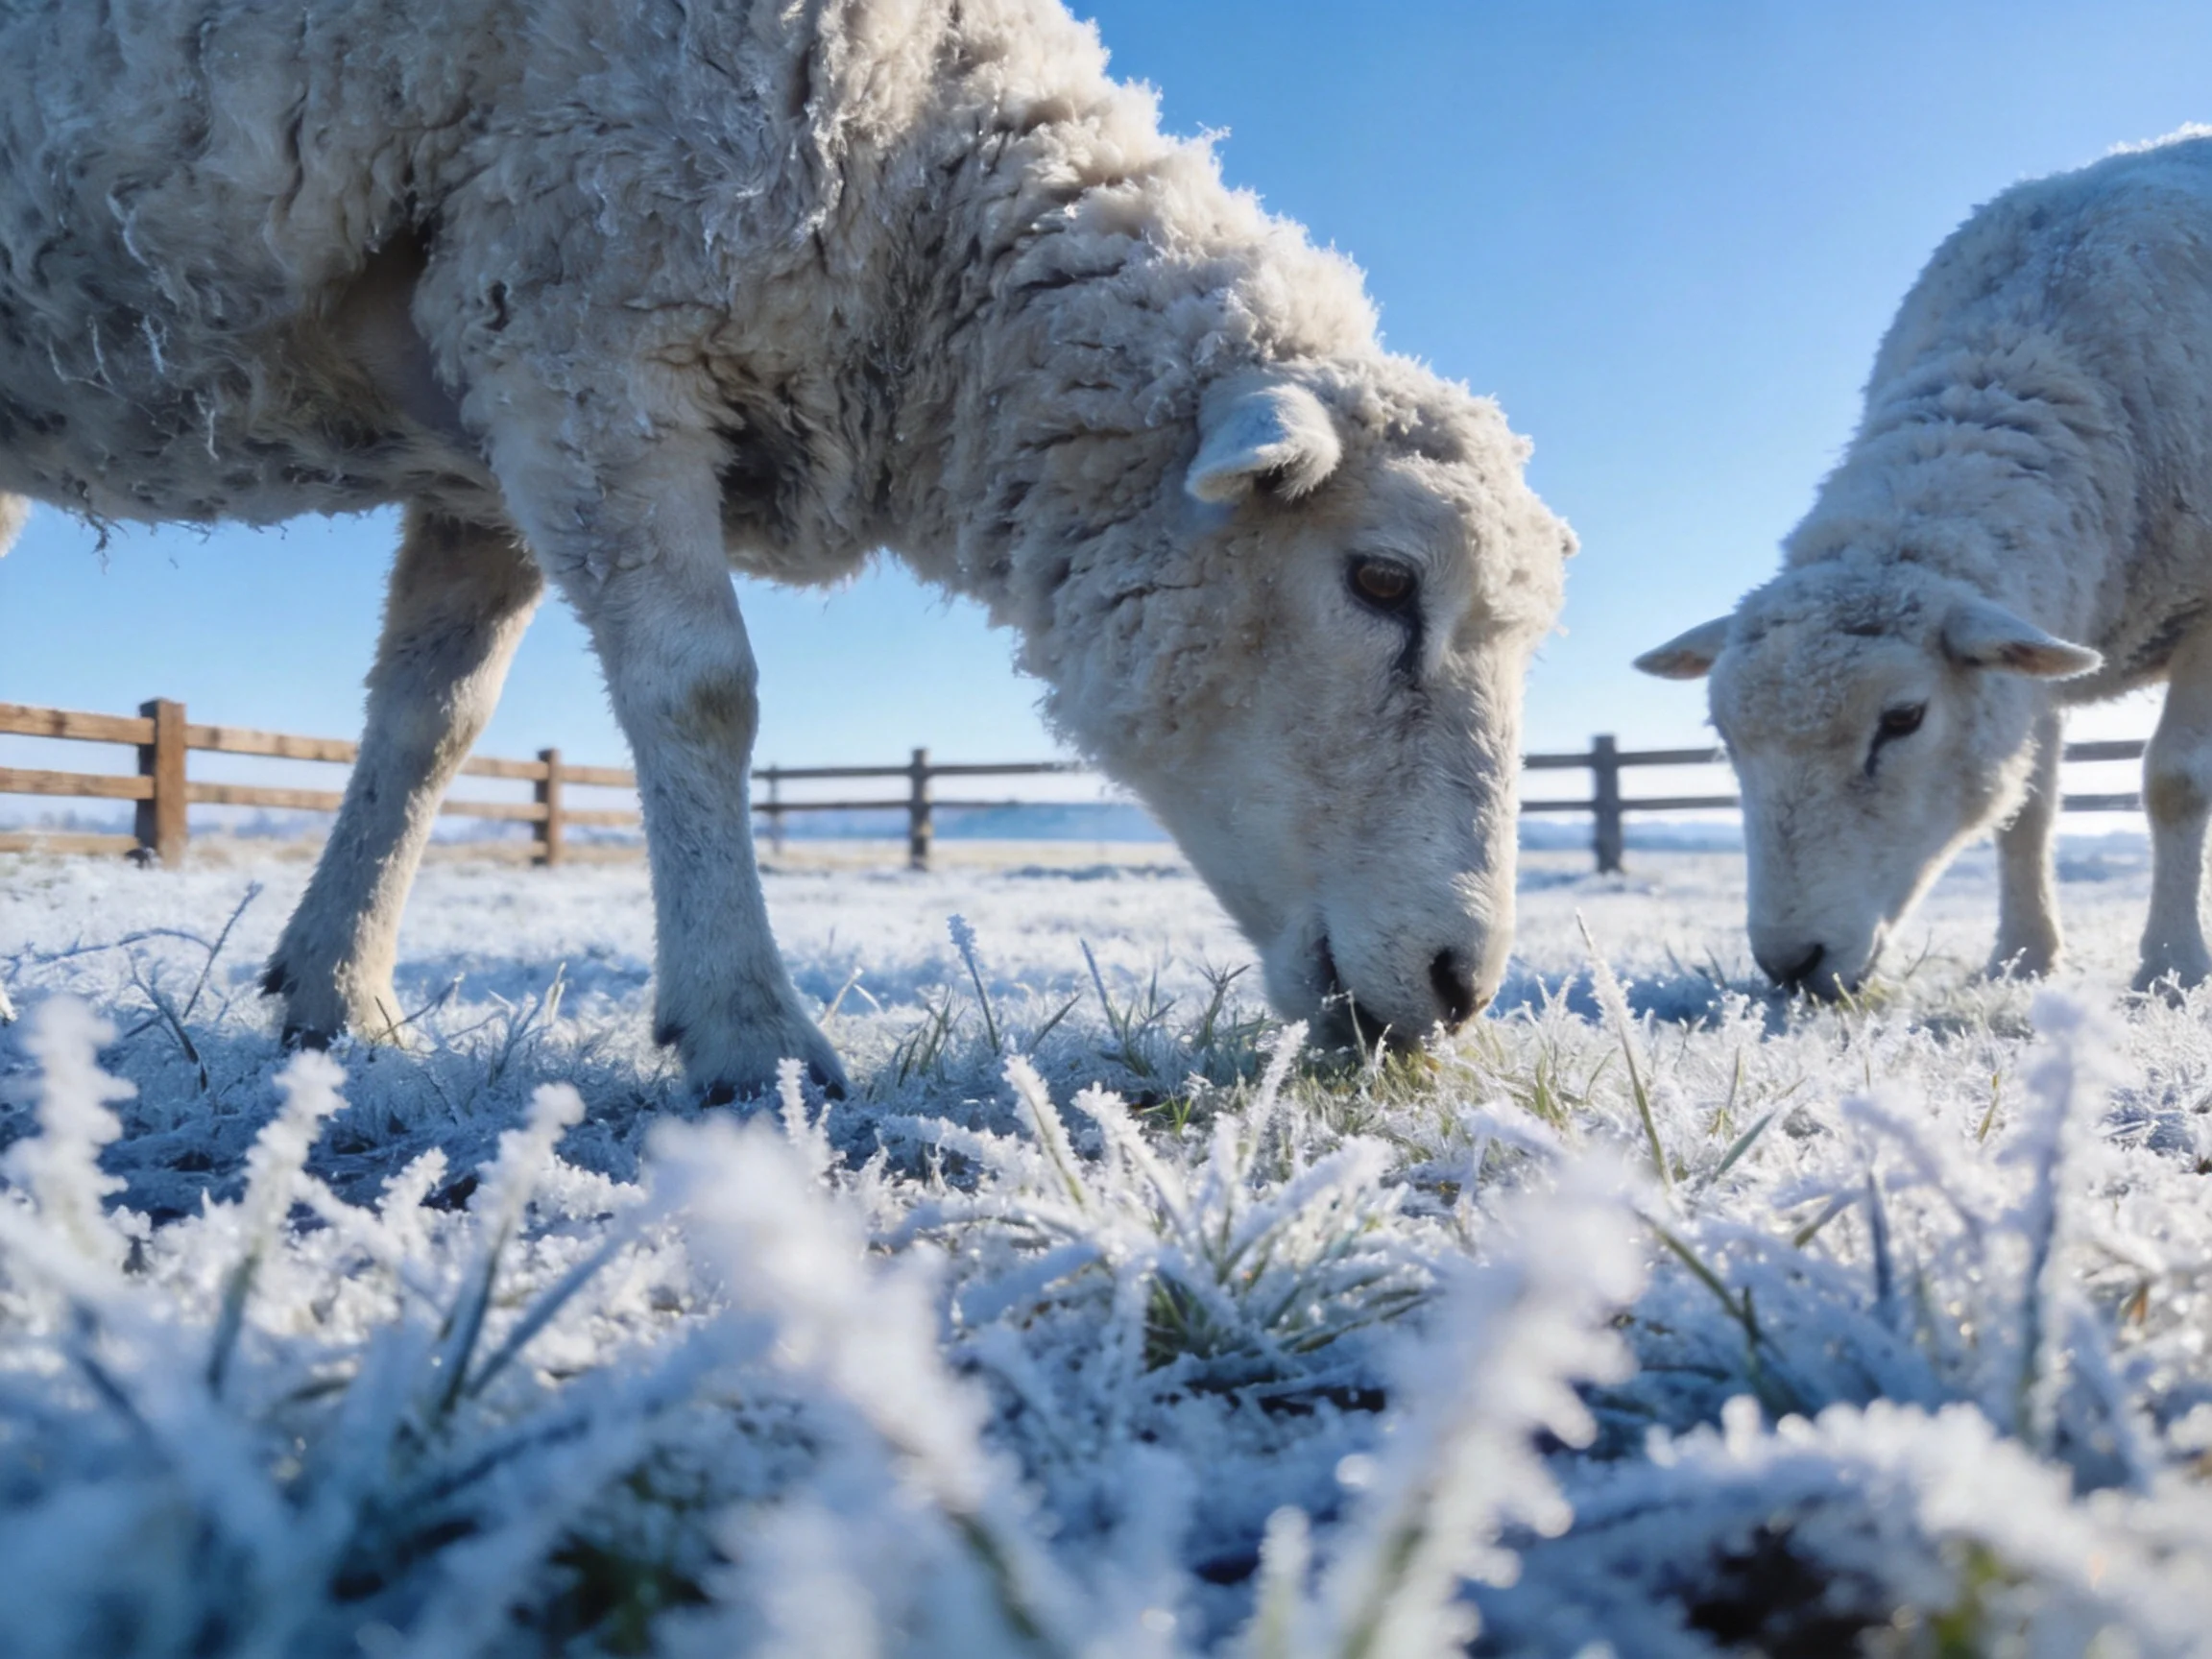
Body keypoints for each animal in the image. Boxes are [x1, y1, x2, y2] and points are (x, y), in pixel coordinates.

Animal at [0, 0, 1573, 1098]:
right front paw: (747, 1032)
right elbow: (702, 692)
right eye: (1382, 580)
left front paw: (343, 996)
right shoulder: (585, 332)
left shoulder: (489, 420)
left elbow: (431, 721)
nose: (1462, 984)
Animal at [1636, 130, 2212, 997]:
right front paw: (2021, 958)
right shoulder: (2032, 641)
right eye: (1725, 735)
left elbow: (2176, 782)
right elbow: (2026, 805)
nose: (1791, 963)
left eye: (1904, 719)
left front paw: (2172, 969)